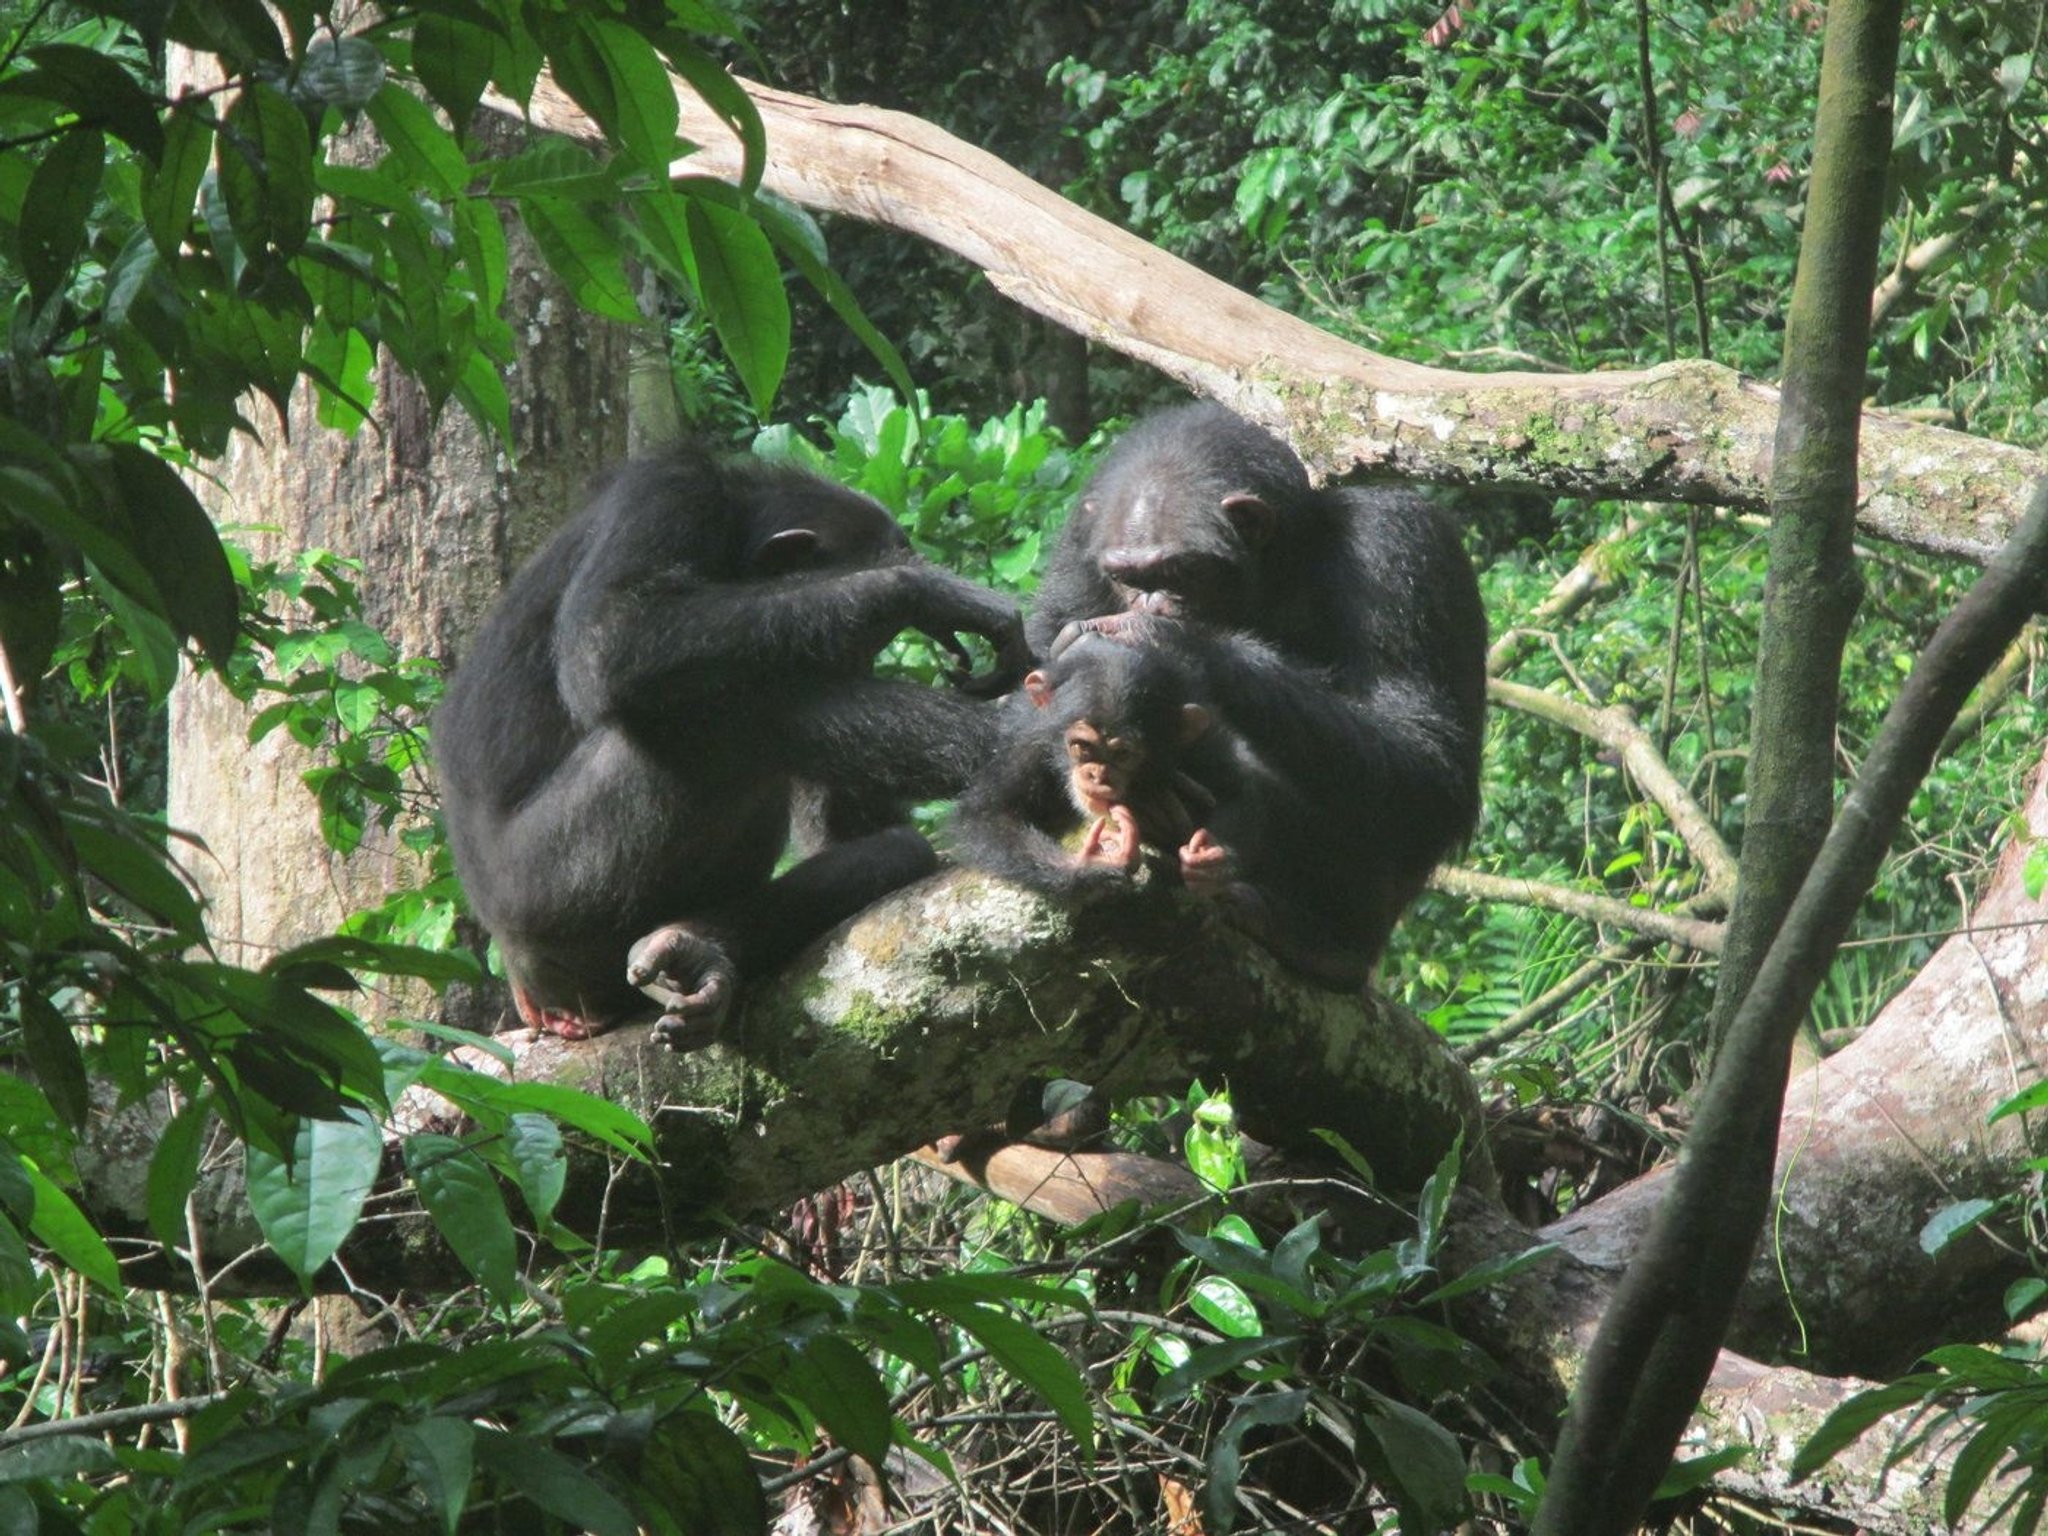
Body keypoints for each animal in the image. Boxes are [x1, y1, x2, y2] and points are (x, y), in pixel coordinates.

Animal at [438, 442, 1032, 1048]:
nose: (861, 660)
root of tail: (529, 993)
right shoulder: (665, 494)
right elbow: (611, 634)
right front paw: (927, 590)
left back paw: (697, 953)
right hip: (549, 892)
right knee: (724, 718)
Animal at [1024, 397, 1490, 974]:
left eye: (1178, 572)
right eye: (1127, 577)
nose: (1149, 604)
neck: (1282, 568)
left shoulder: (1400, 543)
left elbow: (1426, 751)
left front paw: (1164, 642)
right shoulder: (1079, 545)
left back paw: (1313, 938)